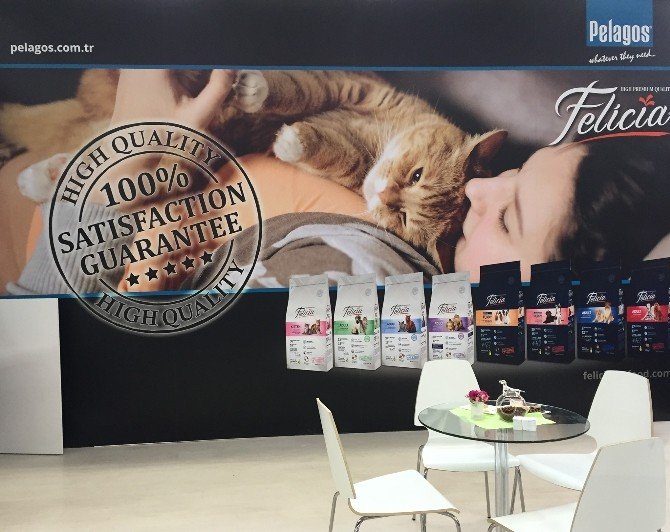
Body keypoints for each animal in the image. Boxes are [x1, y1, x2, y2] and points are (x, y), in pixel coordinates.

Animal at [2, 69, 507, 264]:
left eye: (401, 218)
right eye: (417, 175)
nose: (384, 197)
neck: (375, 135)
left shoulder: (348, 160)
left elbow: (328, 150)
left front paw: (293, 141)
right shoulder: (346, 85)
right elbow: (294, 87)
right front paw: (255, 90)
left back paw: (37, 176)